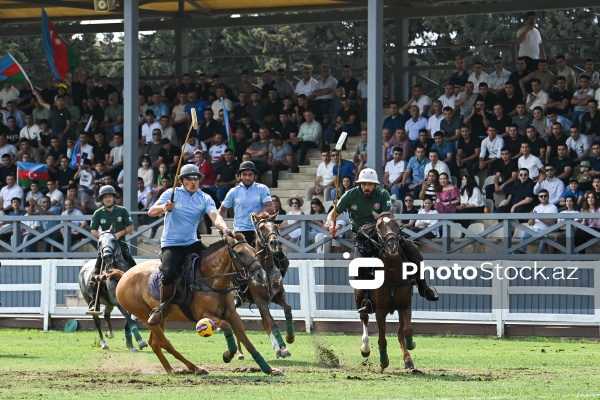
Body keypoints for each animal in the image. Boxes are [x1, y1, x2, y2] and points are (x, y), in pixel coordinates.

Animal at [115, 233, 284, 376]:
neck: (212, 280)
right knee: (165, 343)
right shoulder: (203, 315)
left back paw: (171, 369)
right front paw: (228, 354)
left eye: (254, 250)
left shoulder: (232, 315)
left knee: (156, 343)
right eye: (241, 252)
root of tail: (124, 276)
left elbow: (248, 342)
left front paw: (269, 369)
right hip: (145, 316)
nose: (260, 275)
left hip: (161, 319)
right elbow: (225, 326)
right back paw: (196, 368)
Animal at [236, 212, 296, 360]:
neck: (266, 269)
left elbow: (287, 308)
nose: (274, 242)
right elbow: (272, 322)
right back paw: (239, 353)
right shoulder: (261, 301)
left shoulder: (278, 295)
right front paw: (283, 347)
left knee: (264, 323)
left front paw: (289, 338)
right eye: (262, 227)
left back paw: (277, 348)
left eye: (275, 226)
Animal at [354, 211, 414, 370]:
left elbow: (406, 330)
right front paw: (383, 360)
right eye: (379, 226)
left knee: (400, 332)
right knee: (364, 319)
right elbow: (382, 339)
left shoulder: (405, 305)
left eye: (397, 225)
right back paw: (365, 349)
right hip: (359, 299)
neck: (392, 274)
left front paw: (410, 349)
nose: (392, 247)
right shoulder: (380, 311)